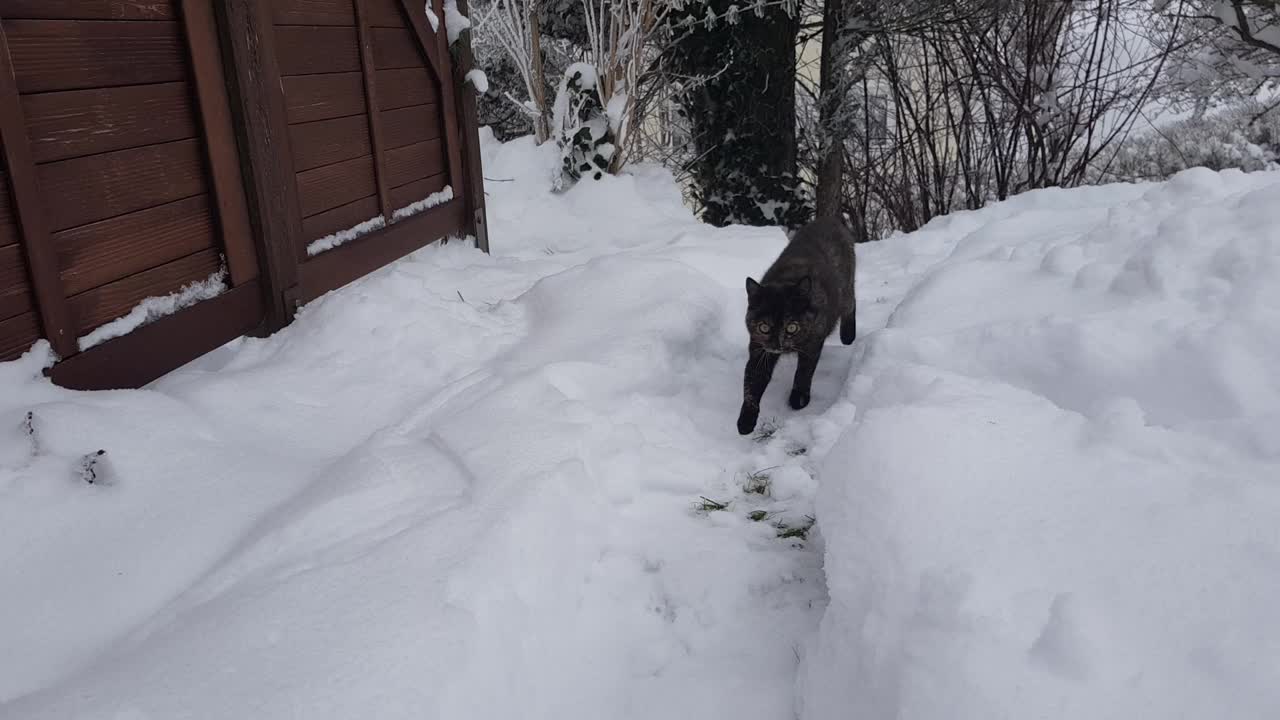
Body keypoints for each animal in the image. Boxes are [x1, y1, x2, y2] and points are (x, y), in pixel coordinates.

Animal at [737, 215, 855, 435]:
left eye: (792, 327)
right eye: (764, 327)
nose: (778, 344)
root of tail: (827, 219)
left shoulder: (813, 343)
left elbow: (804, 371)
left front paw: (799, 398)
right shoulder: (759, 349)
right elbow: (751, 383)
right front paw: (745, 421)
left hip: (845, 291)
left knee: (851, 304)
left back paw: (848, 336)